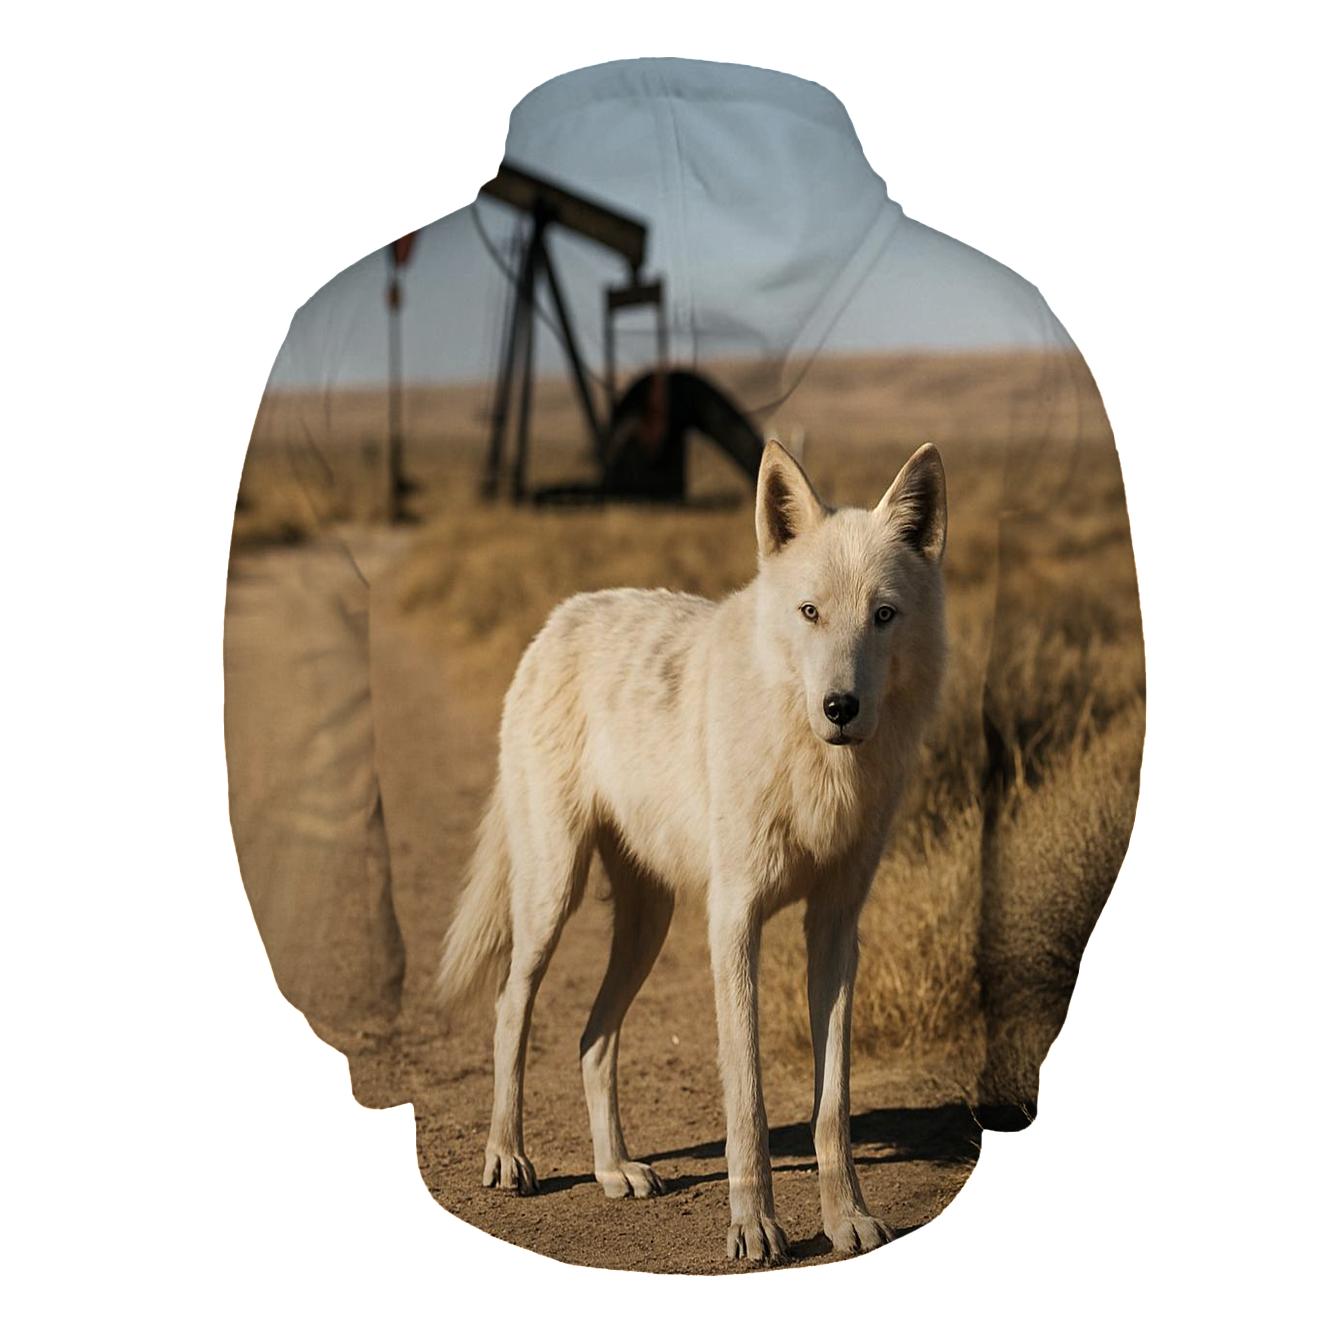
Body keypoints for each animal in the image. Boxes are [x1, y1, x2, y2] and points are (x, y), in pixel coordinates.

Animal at [436, 440, 947, 1264]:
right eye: (810, 612)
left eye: (883, 615)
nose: (840, 707)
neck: (816, 763)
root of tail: (559, 617)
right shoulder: (733, 920)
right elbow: (747, 1099)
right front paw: (755, 1228)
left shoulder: (835, 928)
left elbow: (832, 1104)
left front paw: (848, 1221)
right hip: (552, 898)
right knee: (511, 1006)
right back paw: (509, 1157)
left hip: (648, 924)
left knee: (592, 1037)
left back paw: (614, 1169)